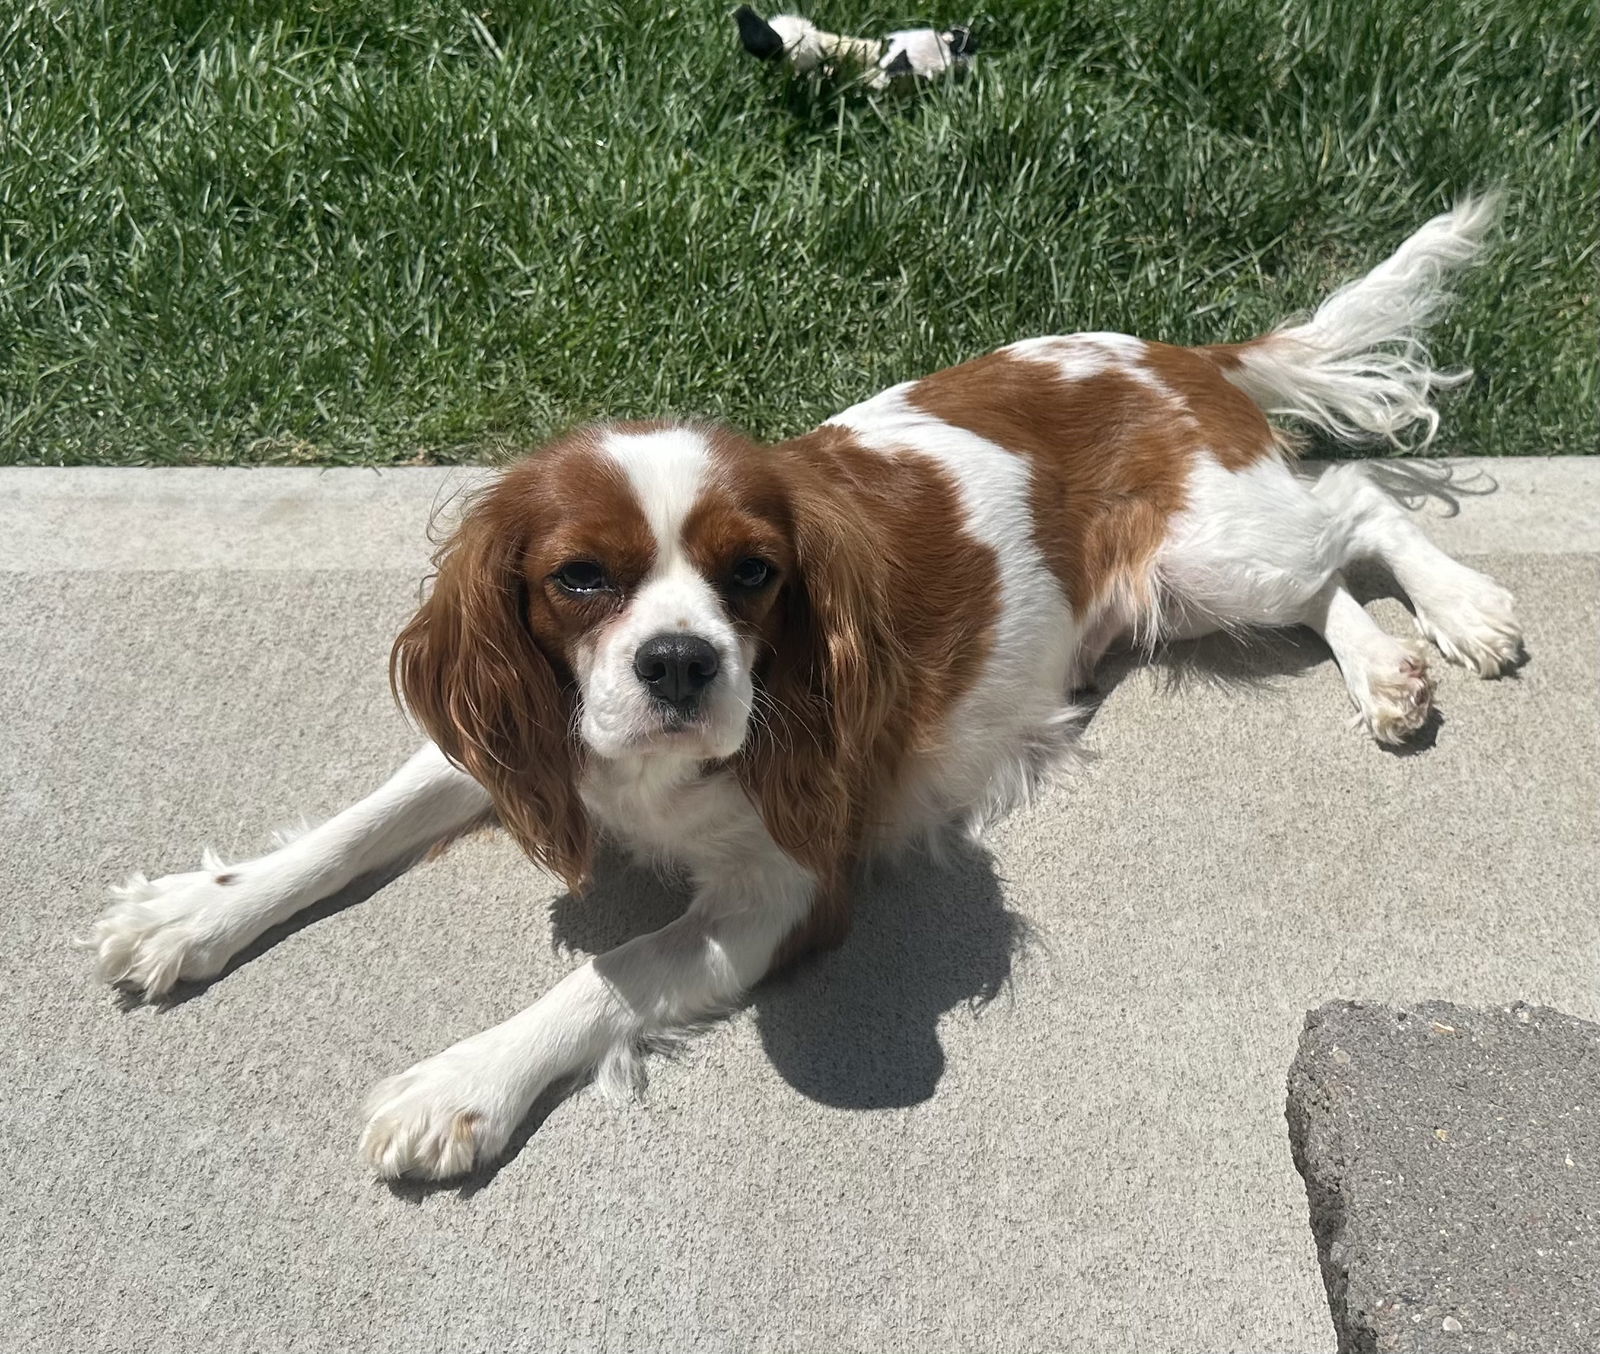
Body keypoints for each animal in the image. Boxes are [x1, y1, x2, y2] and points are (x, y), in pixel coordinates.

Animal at [78, 196, 1523, 1184]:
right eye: (581, 579)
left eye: (754, 574)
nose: (678, 662)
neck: (649, 773)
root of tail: (1180, 351)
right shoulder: (519, 735)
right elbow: (342, 831)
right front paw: (196, 912)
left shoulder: (783, 891)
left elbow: (606, 973)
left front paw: (460, 1082)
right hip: (1199, 581)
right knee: (1326, 575)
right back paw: (1389, 671)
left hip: (1217, 542)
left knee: (1357, 505)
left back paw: (1462, 614)